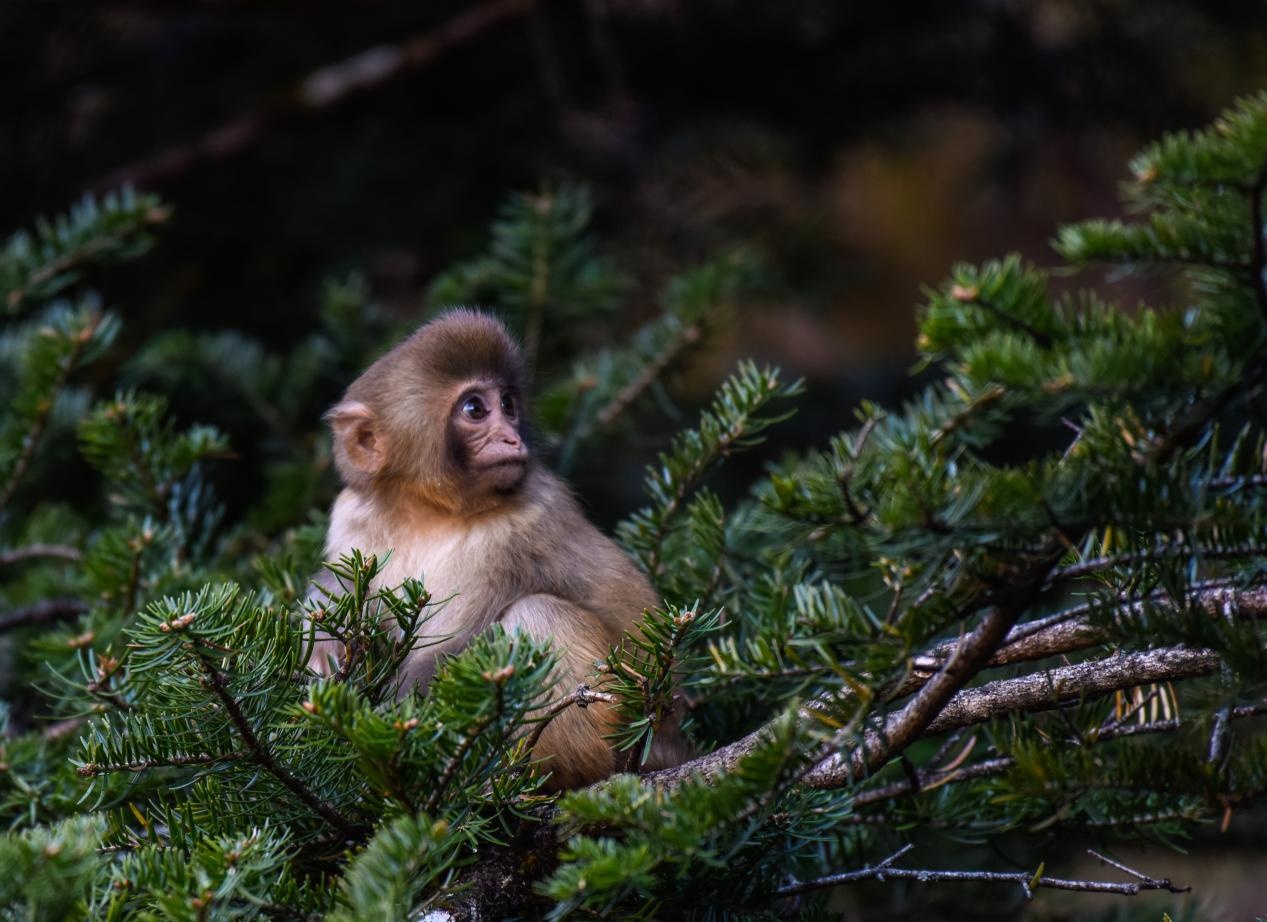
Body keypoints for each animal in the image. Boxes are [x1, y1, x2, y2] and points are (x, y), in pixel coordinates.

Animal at [312, 307, 689, 785]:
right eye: (475, 408)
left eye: (508, 404)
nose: (512, 438)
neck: (427, 512)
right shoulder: (349, 517)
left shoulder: (520, 528)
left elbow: (444, 655)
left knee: (539, 614)